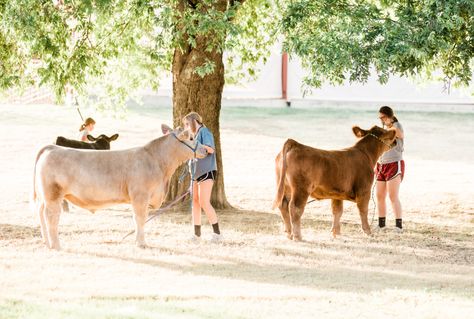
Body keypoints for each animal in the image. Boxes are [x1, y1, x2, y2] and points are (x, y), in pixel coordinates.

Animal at [31, 125, 206, 250]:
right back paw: (56, 245)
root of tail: (52, 148)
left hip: (43, 196)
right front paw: (141, 243)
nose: (206, 149)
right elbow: (140, 218)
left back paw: (46, 241)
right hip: (53, 194)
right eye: (191, 137)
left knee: (40, 214)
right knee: (51, 217)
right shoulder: (140, 196)